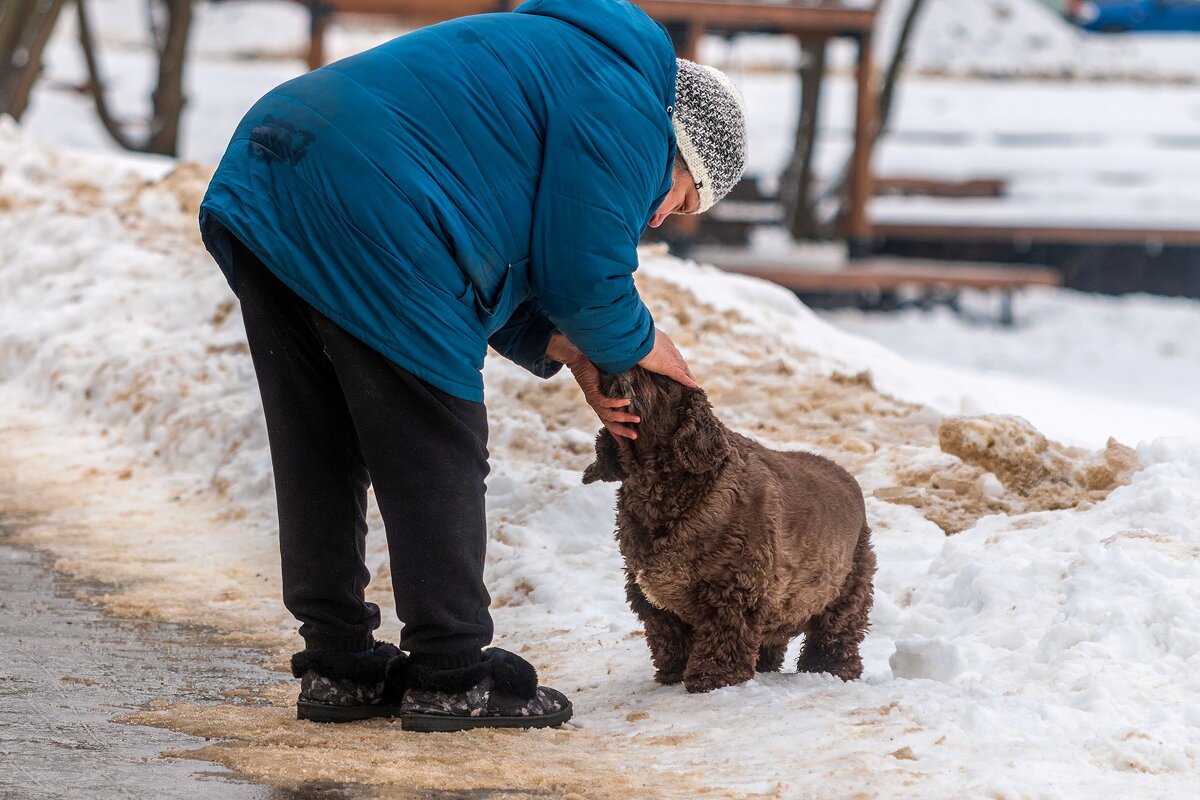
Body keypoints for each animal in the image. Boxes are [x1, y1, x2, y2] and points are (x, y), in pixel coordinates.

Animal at [580, 367, 873, 690]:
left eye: (663, 380)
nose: (615, 366)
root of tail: (850, 479)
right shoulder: (652, 600)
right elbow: (669, 637)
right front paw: (673, 674)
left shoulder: (733, 587)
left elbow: (724, 636)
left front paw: (713, 678)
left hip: (848, 585)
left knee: (835, 632)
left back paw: (829, 669)